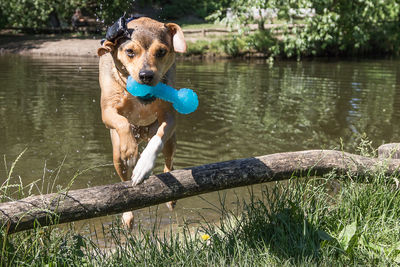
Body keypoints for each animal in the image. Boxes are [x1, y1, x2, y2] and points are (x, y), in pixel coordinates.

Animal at [97, 17, 186, 228]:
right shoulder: (107, 110)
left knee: (169, 163)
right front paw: (130, 150)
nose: (146, 75)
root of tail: (142, 133)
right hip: (116, 154)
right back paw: (127, 215)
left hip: (171, 142)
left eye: (161, 51)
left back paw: (171, 199)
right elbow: (121, 121)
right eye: (130, 51)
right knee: (123, 178)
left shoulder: (169, 117)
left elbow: (158, 140)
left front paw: (143, 165)